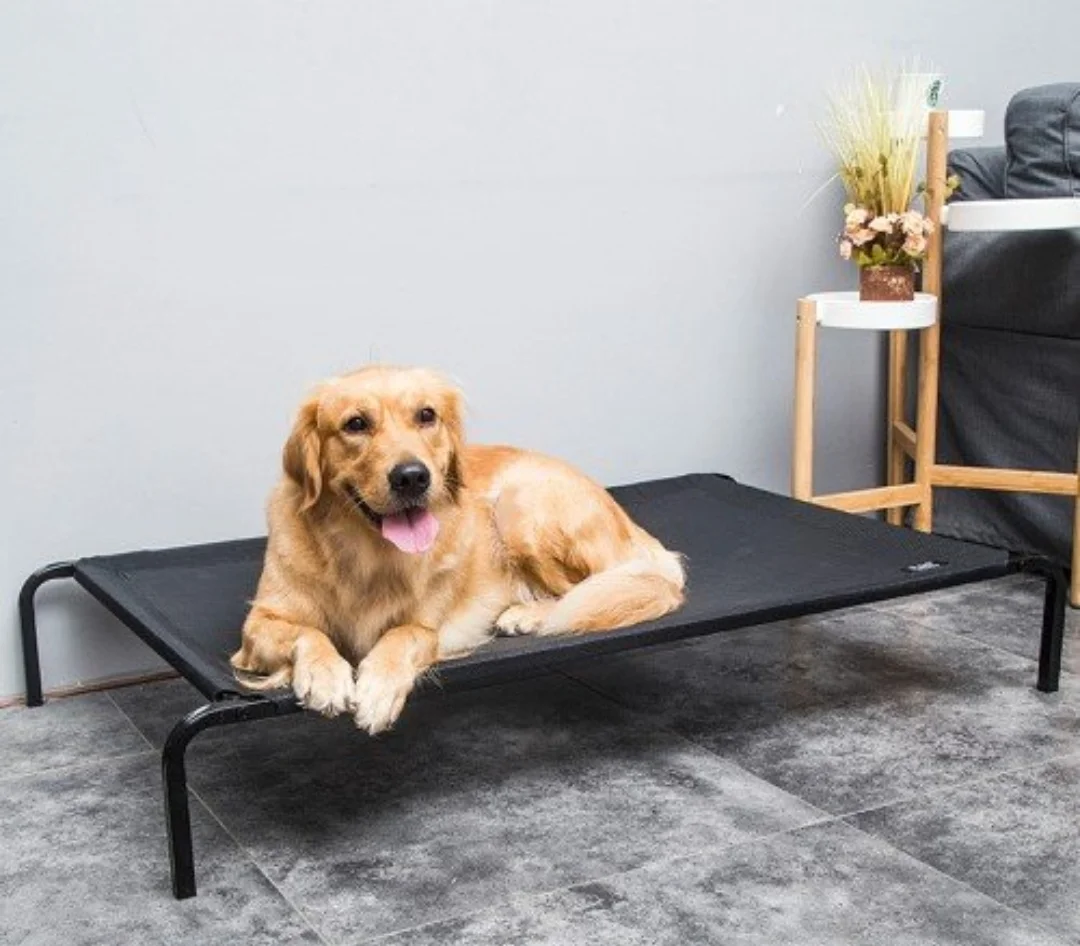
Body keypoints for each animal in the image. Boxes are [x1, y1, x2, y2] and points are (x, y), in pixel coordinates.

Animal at [230, 365, 685, 733]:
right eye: (355, 424)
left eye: (426, 415)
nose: (412, 476)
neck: (363, 554)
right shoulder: (259, 623)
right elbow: (308, 632)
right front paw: (325, 676)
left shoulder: (428, 628)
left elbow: (402, 634)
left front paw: (378, 687)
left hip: (519, 506)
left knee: (586, 588)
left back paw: (529, 614)